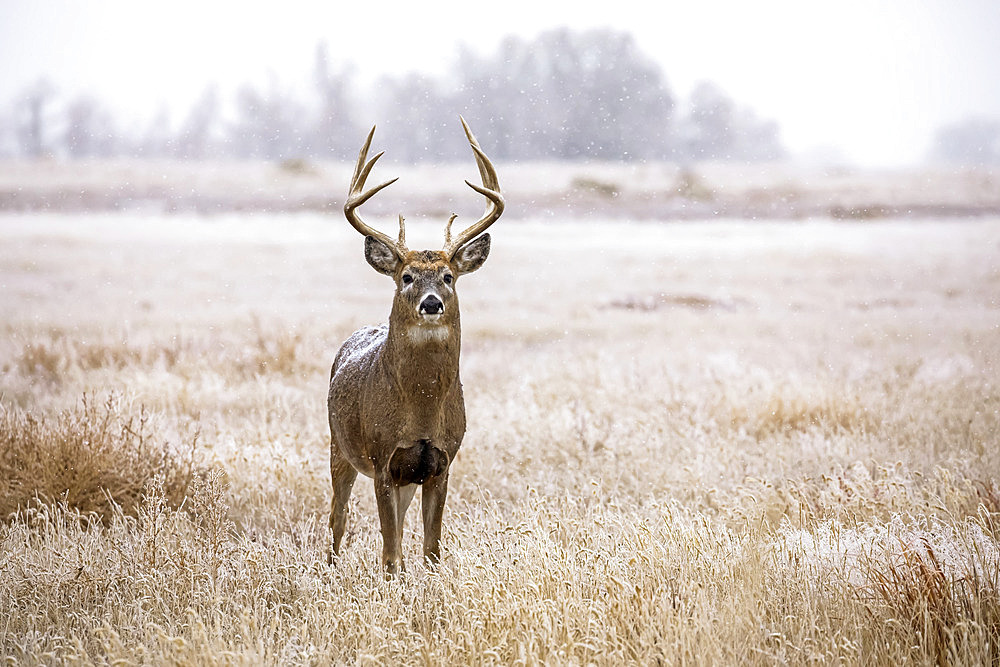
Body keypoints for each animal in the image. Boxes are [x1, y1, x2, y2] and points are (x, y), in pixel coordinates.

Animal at [328, 116, 504, 576]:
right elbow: (390, 553)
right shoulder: (382, 459)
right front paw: (392, 585)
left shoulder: (441, 462)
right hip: (338, 444)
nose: (431, 303)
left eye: (448, 276)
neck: (422, 409)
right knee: (337, 516)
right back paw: (328, 569)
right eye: (406, 276)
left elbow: (431, 549)